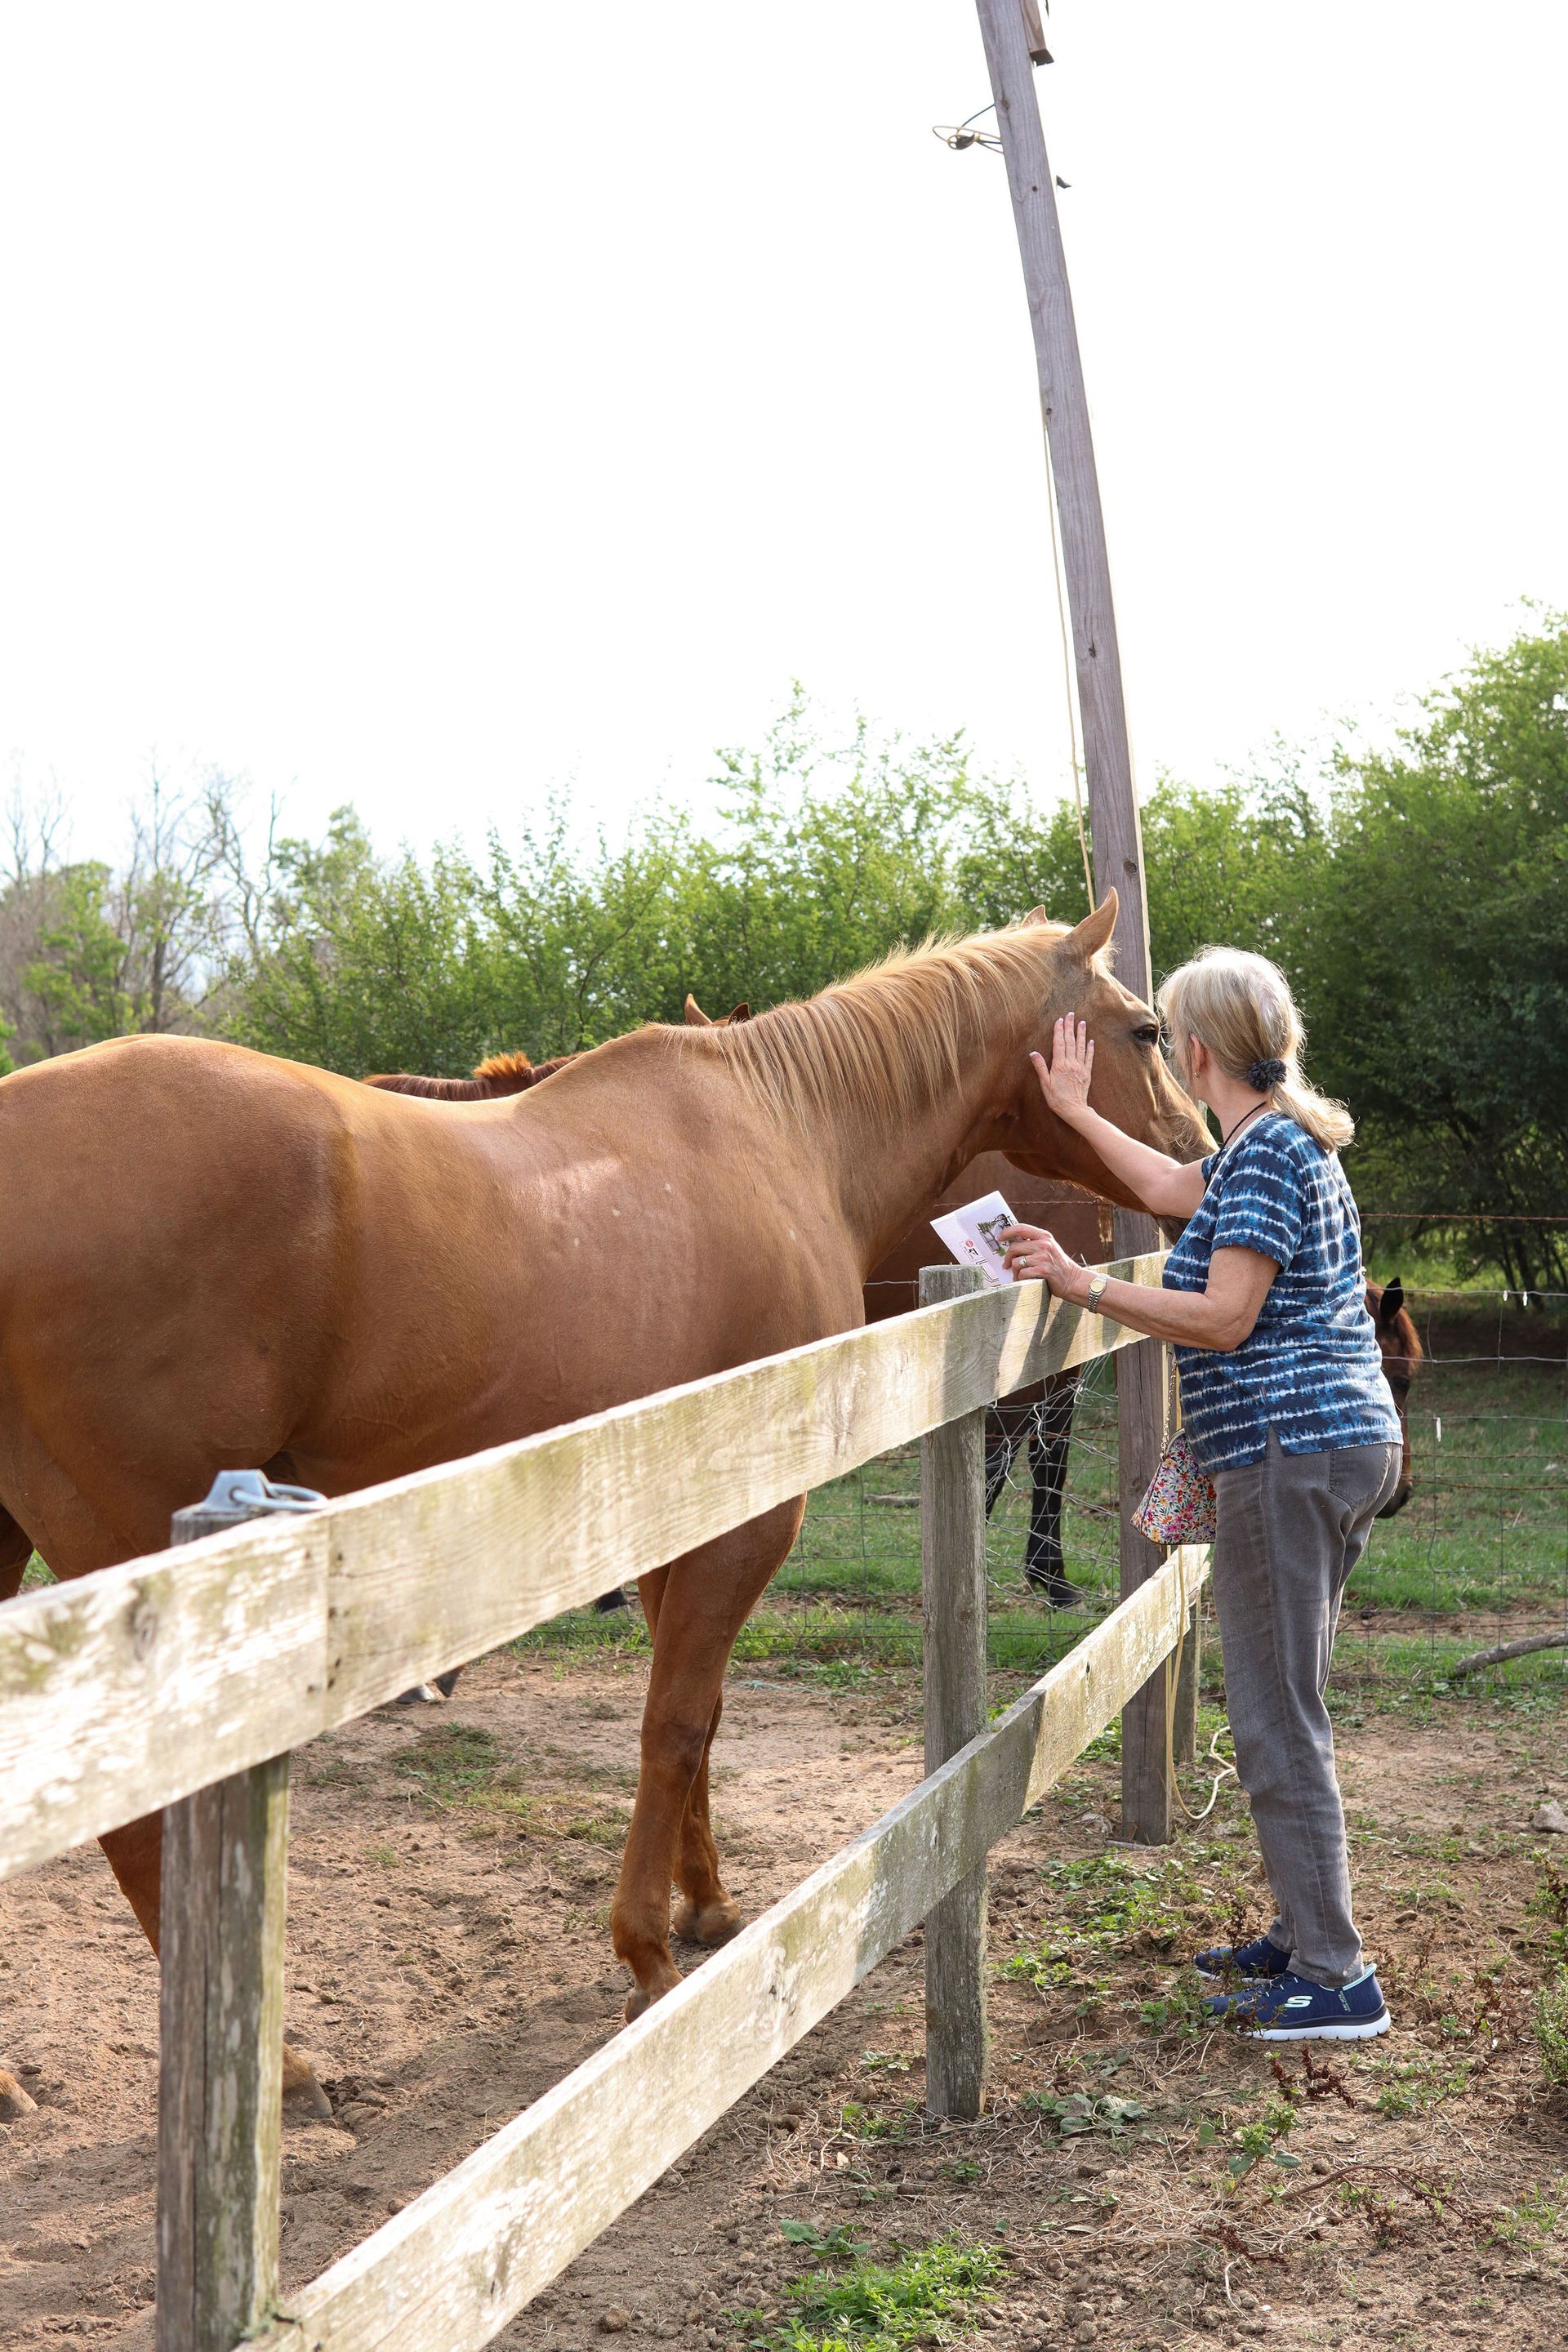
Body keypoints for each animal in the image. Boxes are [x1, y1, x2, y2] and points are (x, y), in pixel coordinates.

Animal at [0, 892, 1207, 2099]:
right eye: (1145, 1030)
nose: (1201, 1157)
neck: (789, 1132)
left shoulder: (683, 1513)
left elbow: (701, 1718)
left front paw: (705, 1906)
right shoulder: (747, 1516)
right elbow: (672, 1724)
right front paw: (647, 1956)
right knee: (134, 1825)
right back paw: (285, 2064)